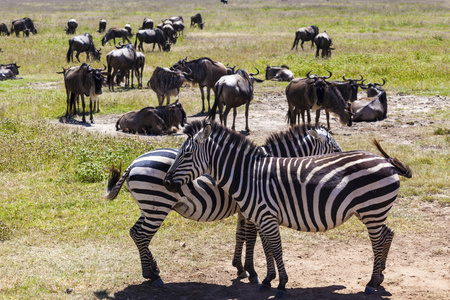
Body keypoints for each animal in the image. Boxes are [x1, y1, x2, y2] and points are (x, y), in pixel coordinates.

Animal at [103, 122, 342, 286]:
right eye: (334, 147)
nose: (343, 157)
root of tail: (133, 163)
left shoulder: (245, 209)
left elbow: (240, 236)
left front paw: (240, 268)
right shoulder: (253, 209)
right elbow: (251, 239)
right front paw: (252, 272)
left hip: (148, 206)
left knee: (135, 233)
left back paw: (153, 268)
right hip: (157, 206)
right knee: (142, 235)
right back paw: (151, 275)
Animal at [163, 120, 414, 298]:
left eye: (186, 154)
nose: (166, 182)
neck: (249, 176)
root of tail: (386, 161)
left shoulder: (265, 216)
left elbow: (275, 249)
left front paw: (281, 284)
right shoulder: (260, 217)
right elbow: (266, 248)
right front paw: (266, 280)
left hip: (372, 210)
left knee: (379, 241)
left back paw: (371, 282)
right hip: (371, 211)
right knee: (387, 234)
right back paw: (379, 278)